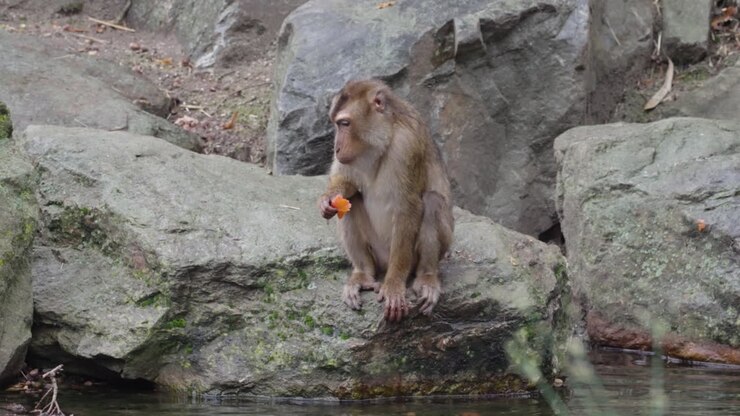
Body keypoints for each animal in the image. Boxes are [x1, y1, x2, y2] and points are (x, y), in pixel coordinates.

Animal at [318, 79, 454, 322]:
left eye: (345, 124)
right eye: (336, 124)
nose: (337, 148)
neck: (385, 136)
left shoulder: (407, 145)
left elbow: (408, 207)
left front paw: (393, 286)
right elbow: (347, 183)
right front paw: (328, 199)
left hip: (411, 257)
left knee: (432, 202)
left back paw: (426, 278)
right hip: (378, 253)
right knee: (350, 202)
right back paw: (363, 274)